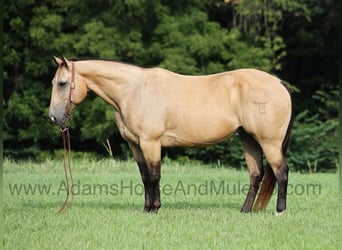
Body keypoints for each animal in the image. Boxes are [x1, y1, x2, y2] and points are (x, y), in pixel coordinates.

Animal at [48, 56, 294, 213]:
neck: (134, 90)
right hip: (248, 139)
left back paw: (280, 210)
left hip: (269, 142)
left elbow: (154, 175)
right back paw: (245, 210)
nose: (53, 118)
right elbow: (145, 177)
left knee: (281, 171)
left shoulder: (151, 142)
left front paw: (155, 208)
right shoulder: (135, 145)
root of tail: (279, 83)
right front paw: (146, 208)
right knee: (256, 174)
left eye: (62, 83)